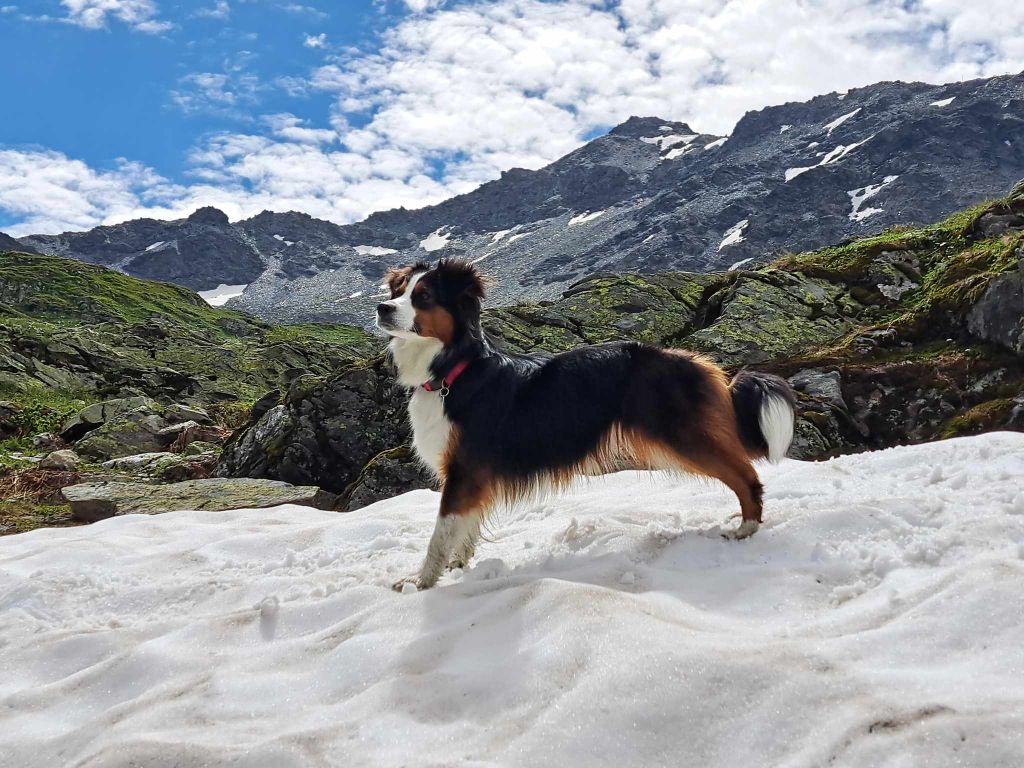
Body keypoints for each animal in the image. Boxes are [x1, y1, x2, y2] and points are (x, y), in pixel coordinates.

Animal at [380, 262, 794, 593]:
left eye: (423, 296)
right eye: (398, 291)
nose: (381, 307)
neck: (455, 371)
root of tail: (698, 363)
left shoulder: (463, 470)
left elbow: (440, 534)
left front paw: (420, 582)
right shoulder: (473, 476)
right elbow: (465, 527)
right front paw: (458, 564)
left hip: (685, 437)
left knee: (745, 475)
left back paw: (746, 528)